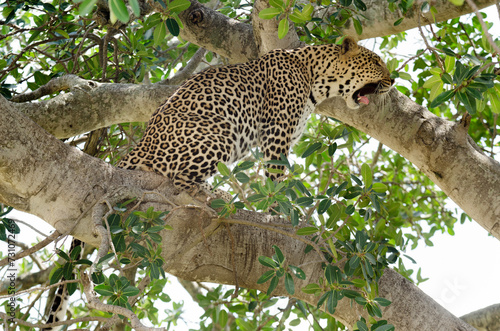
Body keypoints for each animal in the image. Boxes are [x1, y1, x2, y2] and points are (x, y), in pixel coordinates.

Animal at [117, 37, 394, 196]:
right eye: (376, 62)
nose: (393, 81)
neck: (315, 78)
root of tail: (140, 146)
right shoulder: (277, 132)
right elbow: (276, 174)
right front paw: (279, 210)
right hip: (221, 132)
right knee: (179, 178)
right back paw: (212, 193)